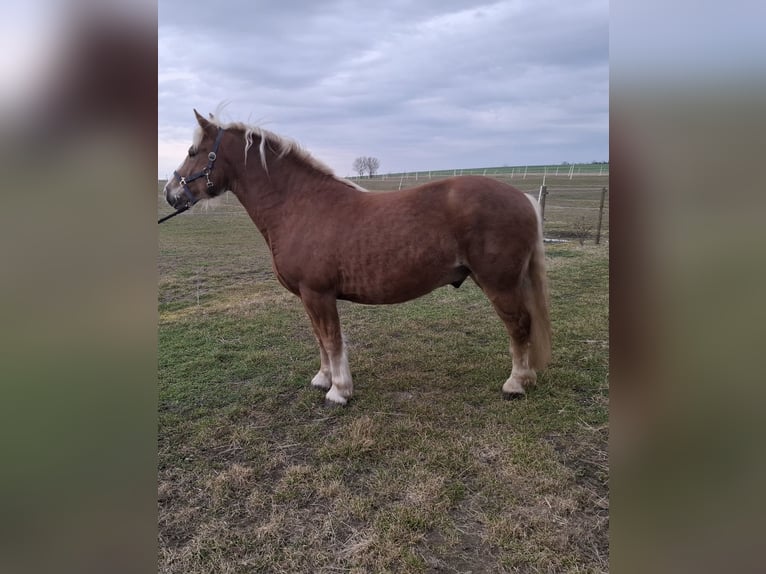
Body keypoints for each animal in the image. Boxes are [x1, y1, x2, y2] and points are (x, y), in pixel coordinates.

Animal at [163, 110, 551, 405]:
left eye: (193, 151)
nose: (170, 193)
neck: (298, 205)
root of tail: (523, 198)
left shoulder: (319, 294)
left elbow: (333, 340)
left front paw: (339, 391)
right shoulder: (308, 297)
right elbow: (320, 339)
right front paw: (323, 379)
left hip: (499, 283)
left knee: (519, 325)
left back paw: (516, 383)